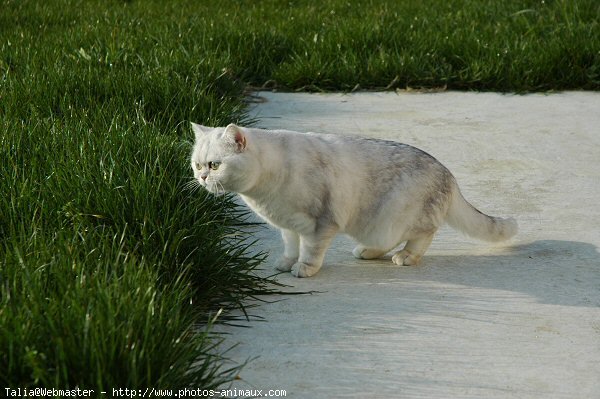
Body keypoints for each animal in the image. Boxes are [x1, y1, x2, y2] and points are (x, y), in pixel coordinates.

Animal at [191, 122, 516, 278]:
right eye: (196, 165)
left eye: (215, 165)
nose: (203, 178)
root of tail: (448, 174)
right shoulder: (289, 226)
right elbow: (290, 247)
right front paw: (286, 263)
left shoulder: (320, 224)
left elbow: (310, 251)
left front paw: (304, 269)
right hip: (377, 225)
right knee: (388, 241)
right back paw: (368, 251)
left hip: (397, 218)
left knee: (423, 235)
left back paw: (407, 257)